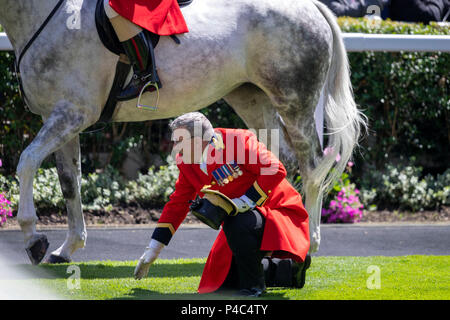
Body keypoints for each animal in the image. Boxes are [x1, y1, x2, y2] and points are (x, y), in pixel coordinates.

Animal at [0, 0, 366, 264]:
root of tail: (310, 7)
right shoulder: (59, 117)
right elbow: (69, 182)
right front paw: (68, 248)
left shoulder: (72, 114)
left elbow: (26, 162)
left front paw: (33, 237)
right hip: (252, 99)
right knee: (280, 163)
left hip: (295, 102)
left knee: (313, 169)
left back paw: (309, 242)